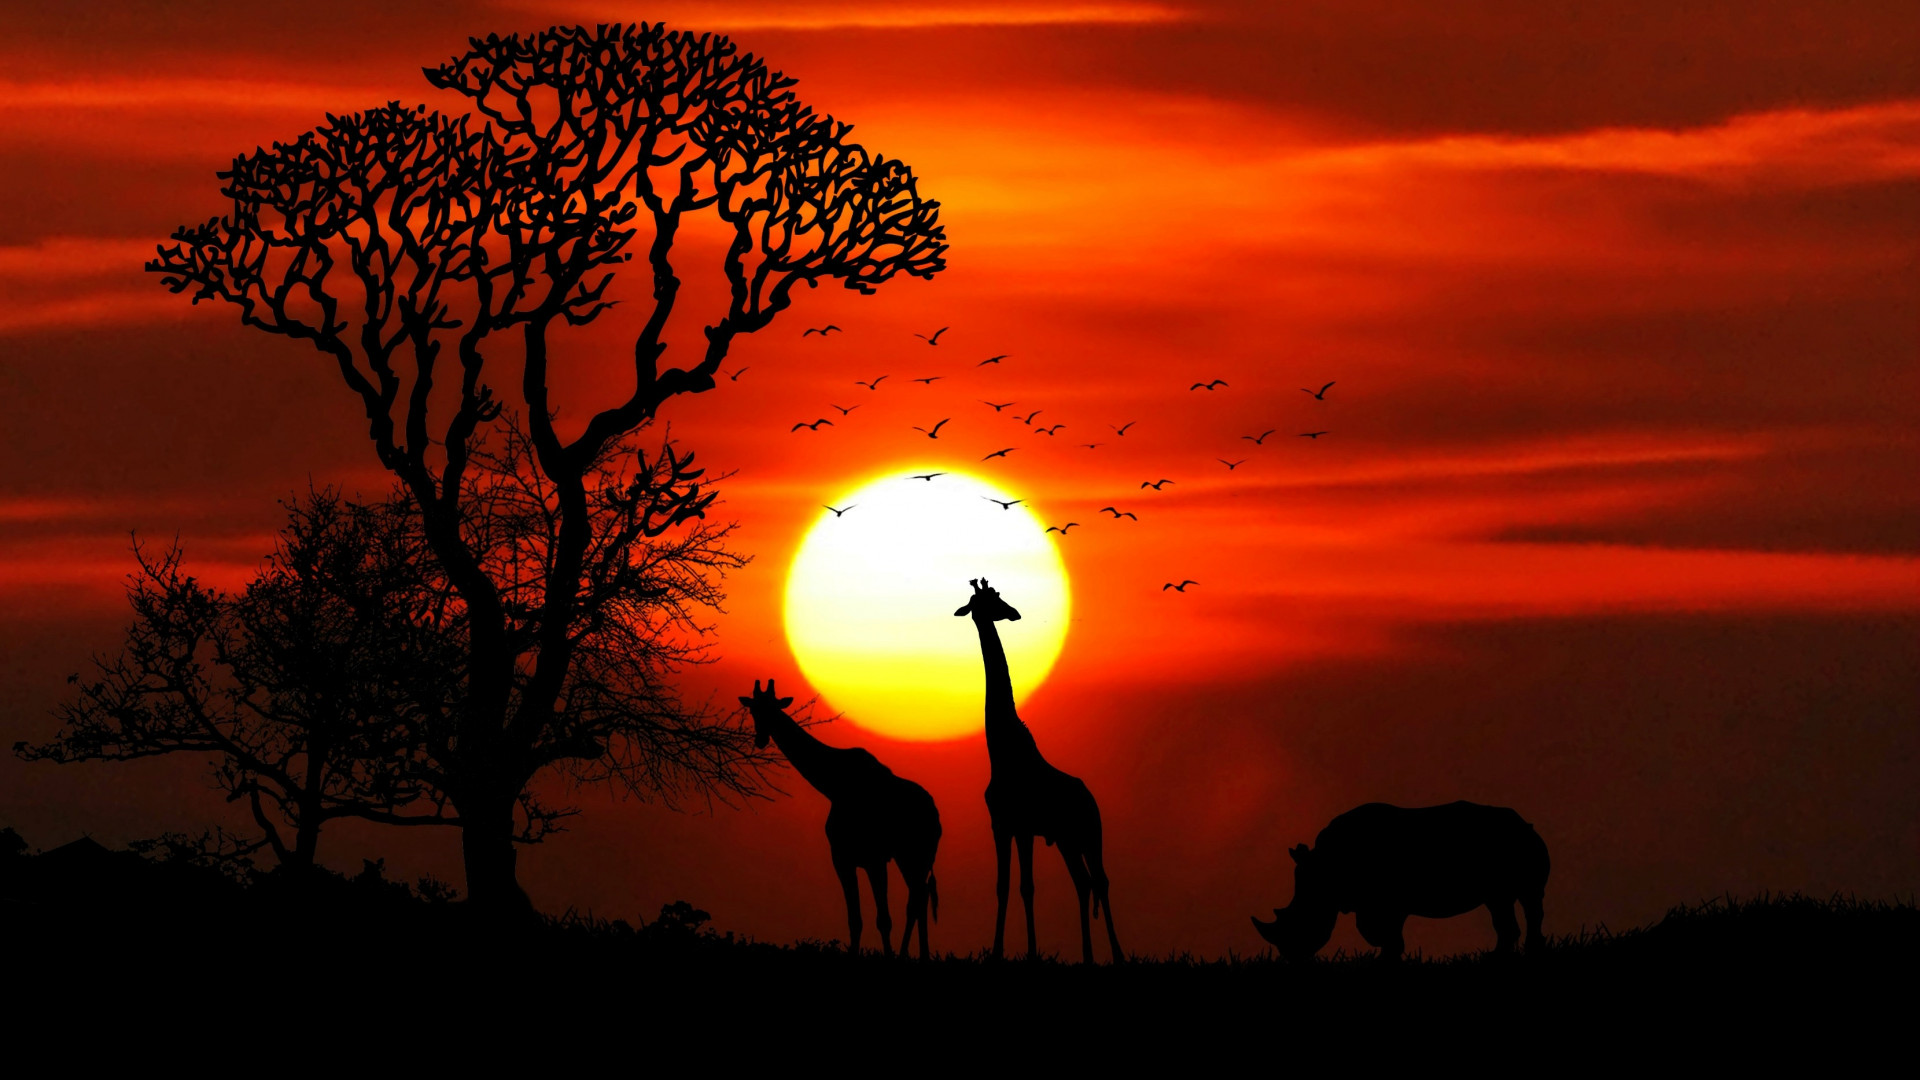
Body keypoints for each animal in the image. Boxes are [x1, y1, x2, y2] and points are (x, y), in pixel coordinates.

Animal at [738, 679, 943, 958]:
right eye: (753, 710)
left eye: (774, 709)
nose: (760, 739)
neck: (834, 785)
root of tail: (935, 816)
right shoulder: (842, 858)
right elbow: (854, 920)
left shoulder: (874, 858)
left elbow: (883, 919)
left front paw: (888, 956)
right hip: (909, 858)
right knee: (919, 898)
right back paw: (918, 954)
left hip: (916, 855)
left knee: (916, 900)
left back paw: (908, 955)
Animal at [954, 578, 1123, 964]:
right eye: (987, 601)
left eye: (998, 596)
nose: (1014, 613)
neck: (1001, 752)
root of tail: (1091, 797)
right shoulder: (1002, 825)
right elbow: (1004, 886)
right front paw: (997, 952)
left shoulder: (1024, 827)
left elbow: (1026, 887)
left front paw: (1031, 952)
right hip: (1066, 839)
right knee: (1083, 882)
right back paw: (1087, 955)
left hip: (1090, 833)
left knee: (1101, 880)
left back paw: (1118, 954)